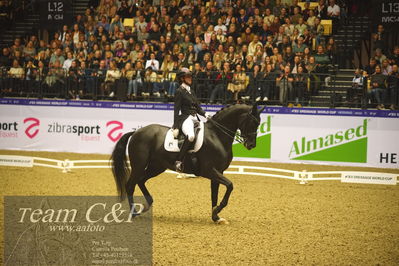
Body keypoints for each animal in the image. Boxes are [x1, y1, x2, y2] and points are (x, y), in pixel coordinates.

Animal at [111, 103, 266, 223]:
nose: (251, 145)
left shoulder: (218, 172)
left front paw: (216, 216)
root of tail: (136, 132)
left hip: (157, 166)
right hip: (139, 164)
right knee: (130, 185)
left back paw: (146, 206)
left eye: (259, 123)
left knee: (141, 181)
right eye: (253, 122)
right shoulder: (209, 171)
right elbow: (230, 185)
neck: (217, 136)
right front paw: (217, 211)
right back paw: (134, 212)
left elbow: (214, 194)